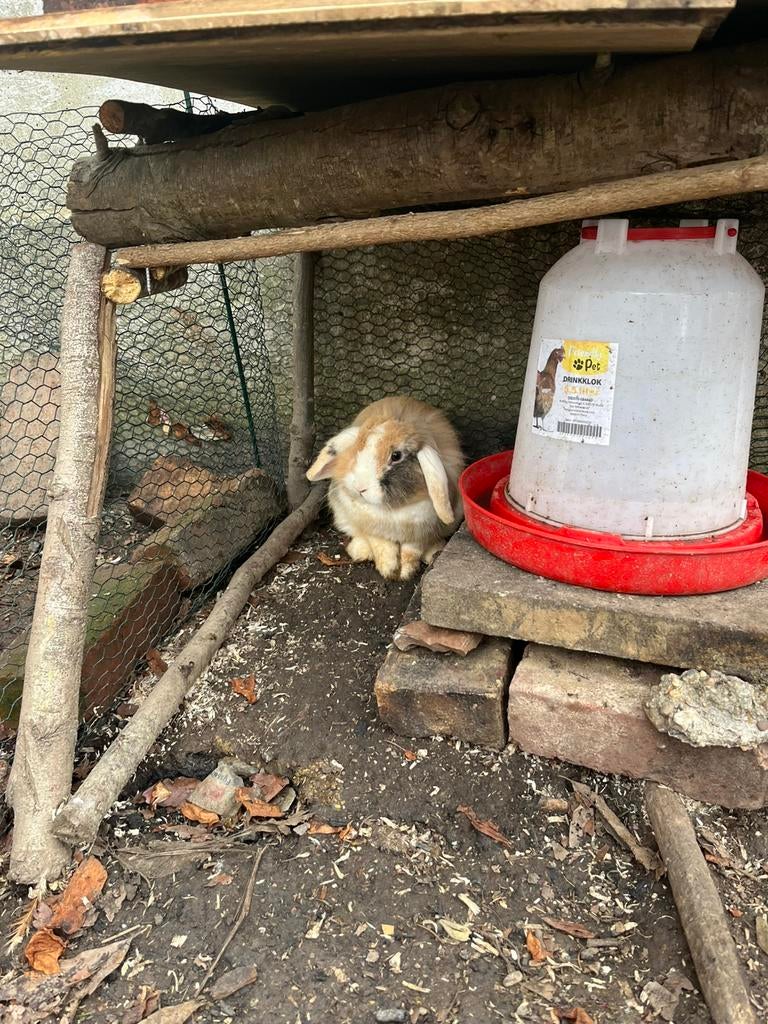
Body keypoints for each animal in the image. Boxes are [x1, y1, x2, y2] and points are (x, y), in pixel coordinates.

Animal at [306, 396, 464, 580]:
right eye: (359, 446)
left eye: (396, 456)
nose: (360, 487)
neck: (392, 509)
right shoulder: (372, 528)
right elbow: (381, 546)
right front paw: (388, 569)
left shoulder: (420, 531)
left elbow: (412, 551)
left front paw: (405, 572)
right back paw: (360, 551)